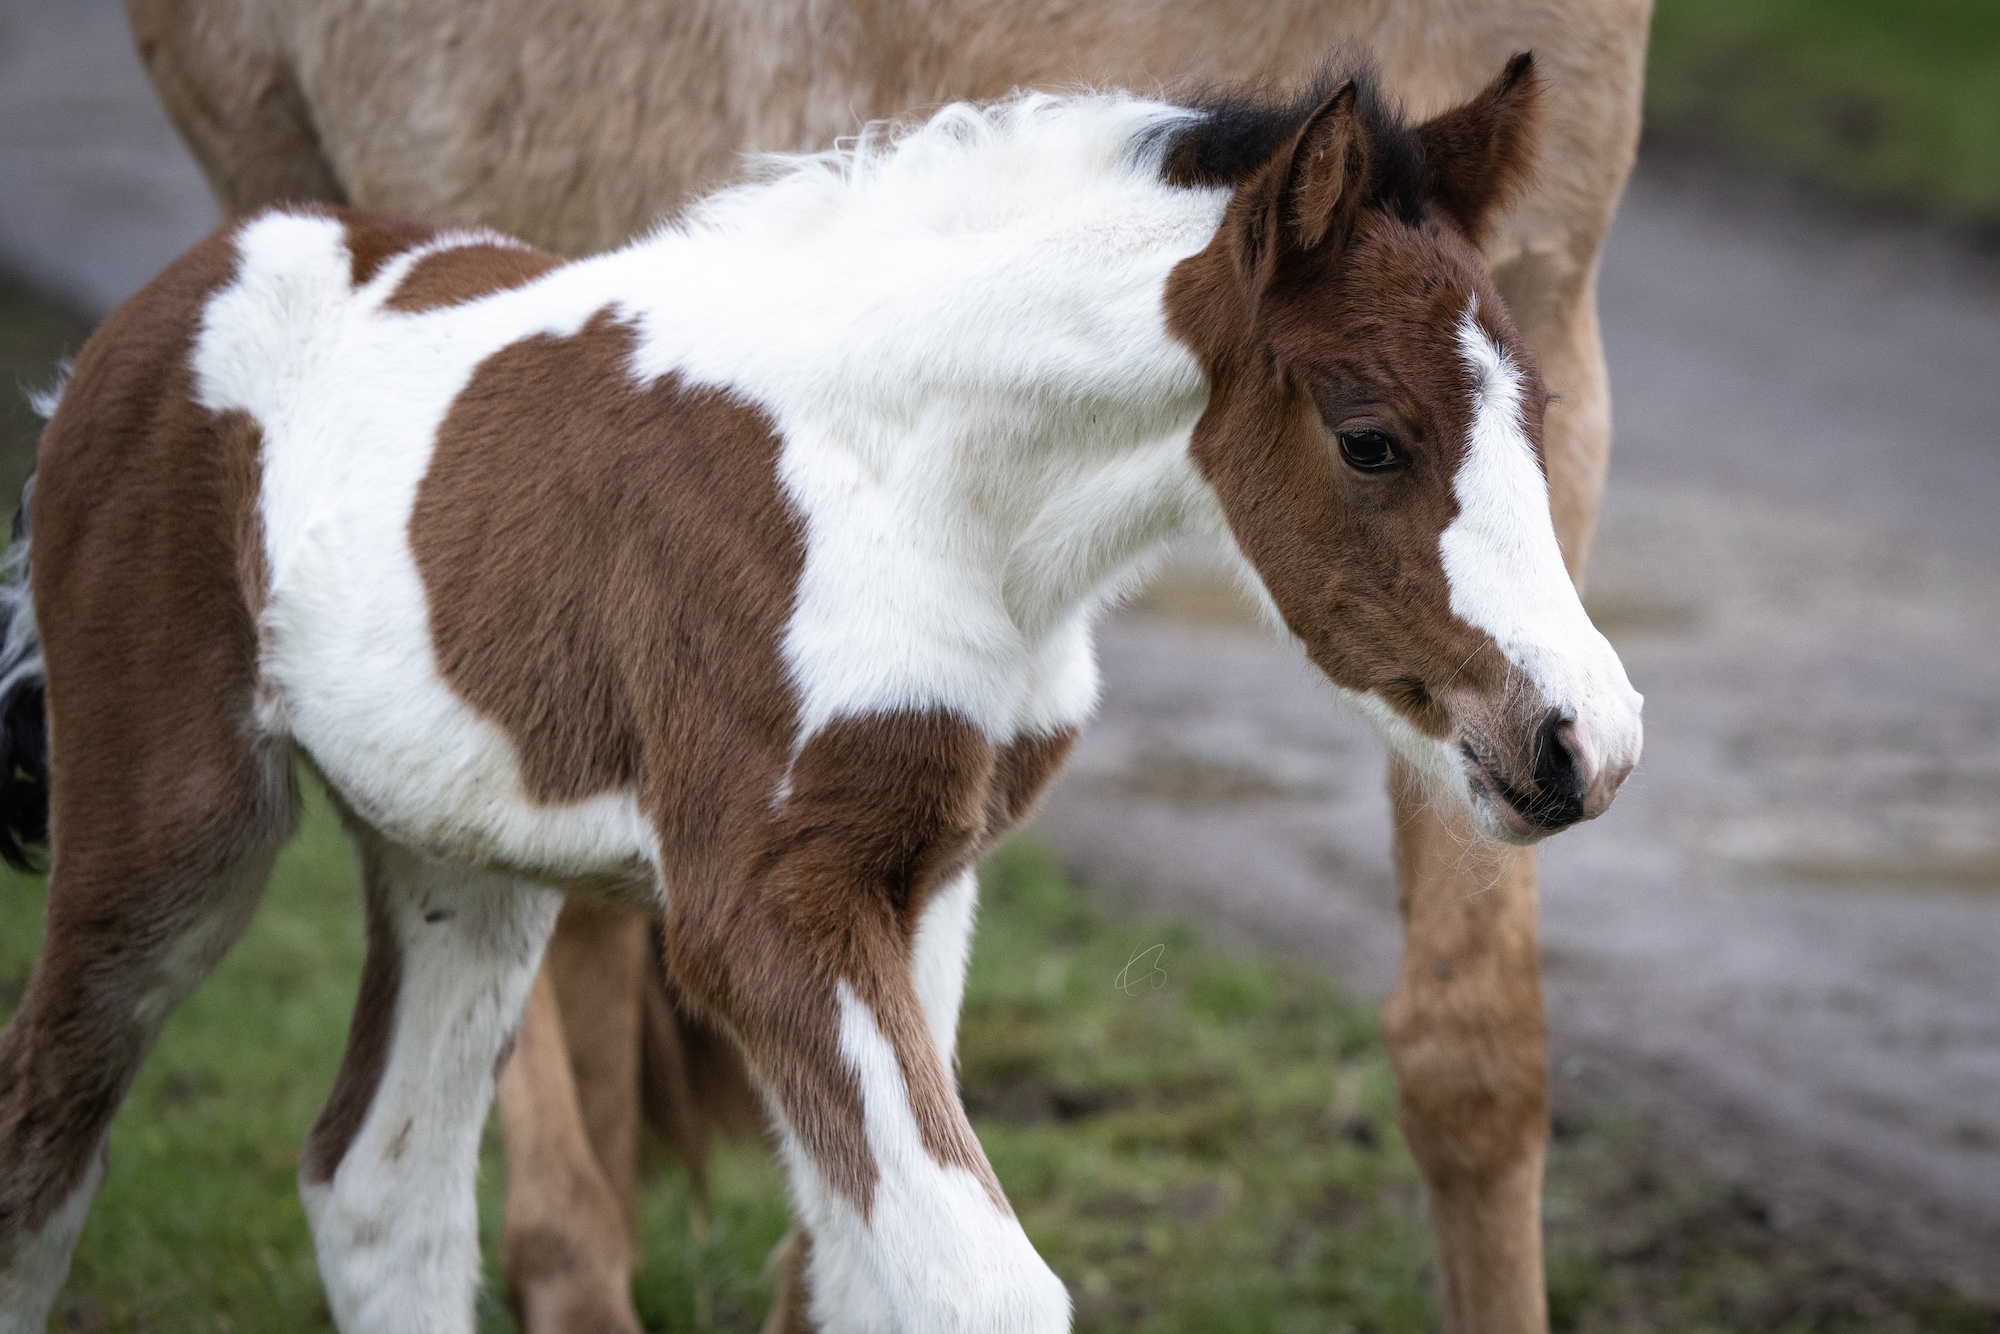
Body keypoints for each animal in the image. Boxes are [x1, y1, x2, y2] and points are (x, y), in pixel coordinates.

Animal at [0, 62, 1640, 1334]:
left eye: (1540, 414)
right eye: (1369, 438)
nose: (1585, 742)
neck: (921, 482)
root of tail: (155, 306)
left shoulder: (923, 878)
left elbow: (859, 1275)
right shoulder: (756, 900)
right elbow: (981, 1284)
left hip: (457, 853)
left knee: (377, 1181)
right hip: (169, 816)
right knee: (48, 1128)